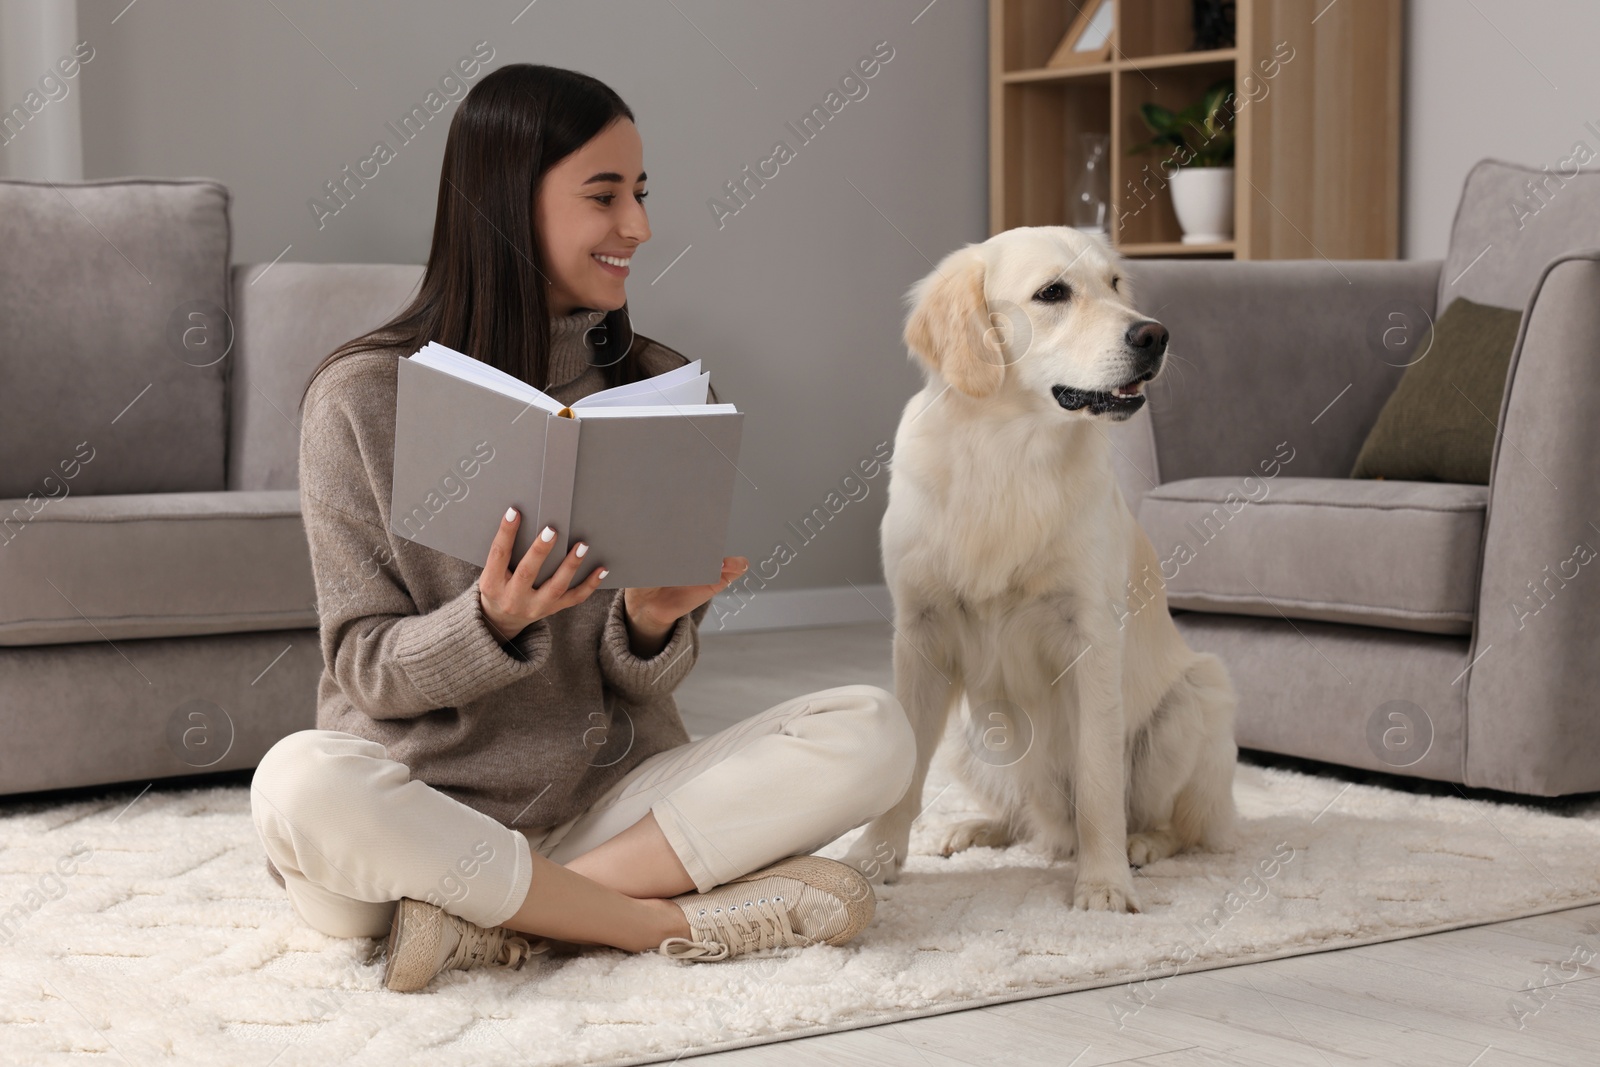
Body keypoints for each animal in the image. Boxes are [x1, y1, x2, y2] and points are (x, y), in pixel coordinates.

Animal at [844, 223, 1241, 908]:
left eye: (1115, 284)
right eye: (1053, 293)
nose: (1155, 334)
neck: (1008, 450)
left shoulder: (1092, 637)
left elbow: (1100, 782)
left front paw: (1103, 883)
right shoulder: (921, 634)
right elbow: (904, 771)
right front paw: (874, 860)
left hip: (1197, 696)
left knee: (1178, 824)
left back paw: (1141, 846)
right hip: (970, 736)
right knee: (1023, 815)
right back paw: (975, 828)